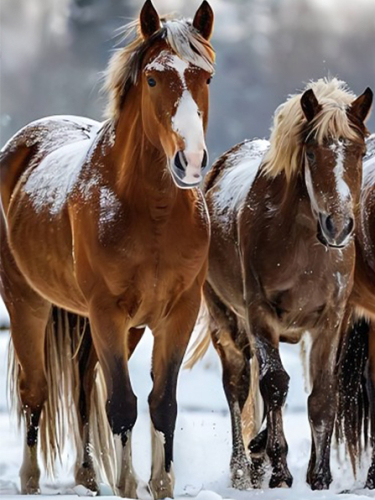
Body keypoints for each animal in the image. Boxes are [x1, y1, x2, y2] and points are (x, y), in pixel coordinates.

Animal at [0, 1, 216, 498]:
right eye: (153, 79)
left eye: (207, 78)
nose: (191, 163)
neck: (151, 211)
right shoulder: (107, 312)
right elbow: (121, 403)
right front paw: (128, 483)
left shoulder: (175, 312)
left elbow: (162, 403)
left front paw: (160, 483)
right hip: (27, 302)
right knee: (36, 389)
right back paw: (30, 478)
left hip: (121, 326)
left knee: (82, 384)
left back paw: (86, 474)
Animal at [194, 80, 374, 490]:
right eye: (310, 152)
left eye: (359, 151)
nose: (338, 227)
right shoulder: (260, 313)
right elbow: (274, 383)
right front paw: (279, 470)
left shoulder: (331, 319)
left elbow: (322, 395)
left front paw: (319, 476)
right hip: (225, 321)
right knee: (238, 384)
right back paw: (243, 468)